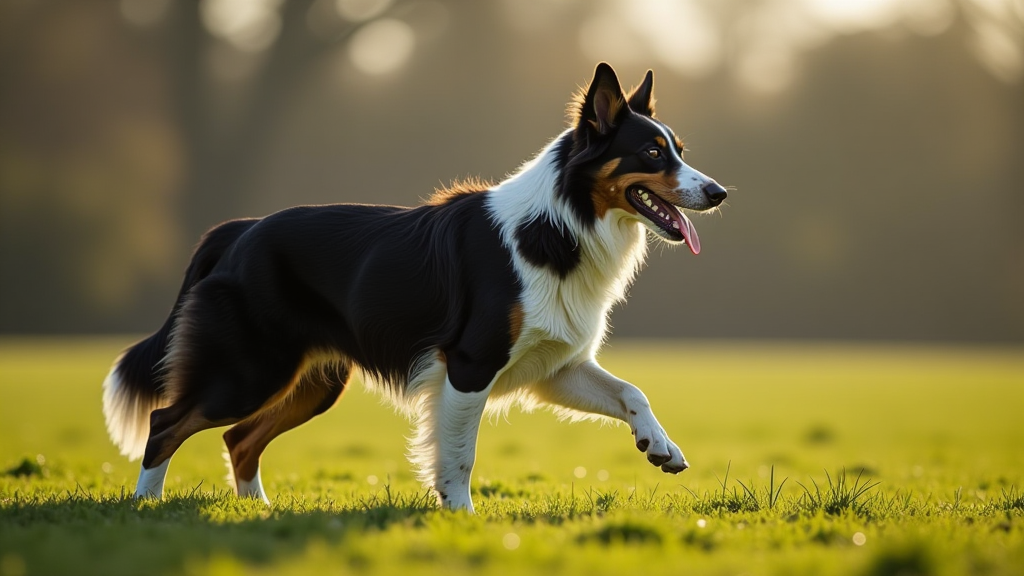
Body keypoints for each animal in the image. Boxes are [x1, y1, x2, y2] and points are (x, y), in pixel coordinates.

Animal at [101, 63, 729, 510]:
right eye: (652, 152)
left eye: (680, 151)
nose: (719, 192)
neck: (560, 224)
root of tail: (238, 231)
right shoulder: (471, 364)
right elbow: (459, 455)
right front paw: (461, 518)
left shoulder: (554, 366)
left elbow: (632, 391)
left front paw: (660, 447)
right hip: (249, 371)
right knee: (166, 424)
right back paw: (145, 507)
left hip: (313, 381)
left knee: (239, 439)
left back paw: (257, 510)